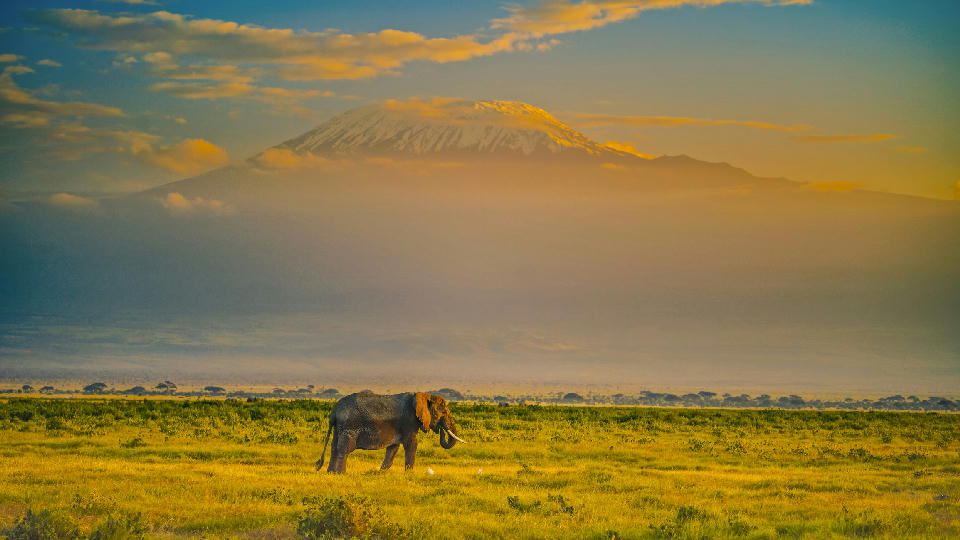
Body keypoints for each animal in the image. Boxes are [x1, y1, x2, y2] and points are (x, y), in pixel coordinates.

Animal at [315, 392, 465, 473]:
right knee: (345, 448)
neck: (422, 395)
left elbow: (393, 447)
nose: (441, 429)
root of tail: (334, 411)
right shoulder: (409, 422)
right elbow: (411, 444)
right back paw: (341, 473)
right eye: (443, 412)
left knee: (334, 446)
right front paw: (409, 473)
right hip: (349, 425)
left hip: (338, 427)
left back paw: (331, 473)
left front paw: (381, 472)